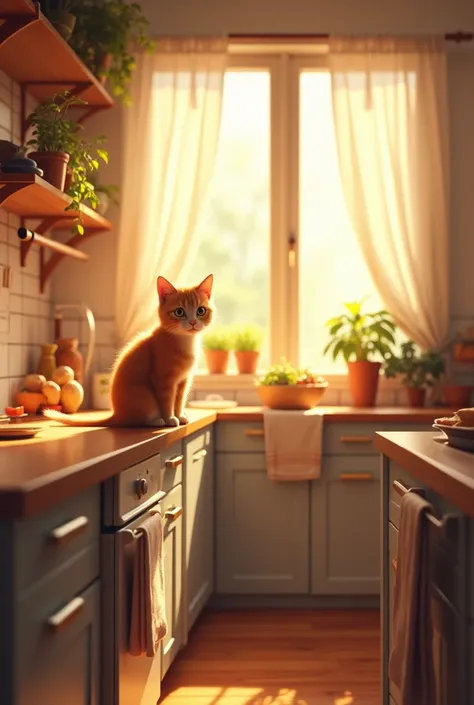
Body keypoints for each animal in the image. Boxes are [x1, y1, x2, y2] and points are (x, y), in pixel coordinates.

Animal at [43, 274, 214, 428]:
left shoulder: (183, 380)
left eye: (200, 311)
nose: (193, 322)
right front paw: (170, 418)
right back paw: (156, 421)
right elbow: (167, 400)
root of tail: (117, 415)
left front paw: (179, 415)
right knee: (138, 419)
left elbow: (179, 400)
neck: (184, 341)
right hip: (144, 395)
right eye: (179, 312)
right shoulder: (162, 380)